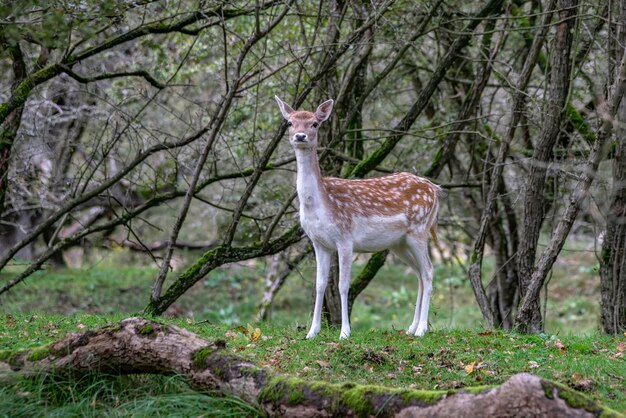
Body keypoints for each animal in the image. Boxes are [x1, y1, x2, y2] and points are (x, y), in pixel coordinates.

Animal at [272, 97, 438, 340]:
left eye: (314, 123)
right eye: (290, 123)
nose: (300, 136)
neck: (320, 204)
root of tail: (436, 189)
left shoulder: (345, 238)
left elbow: (343, 285)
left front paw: (344, 332)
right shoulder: (318, 243)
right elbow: (319, 285)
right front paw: (312, 332)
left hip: (419, 230)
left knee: (428, 271)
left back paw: (422, 329)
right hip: (400, 243)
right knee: (418, 273)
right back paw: (411, 327)